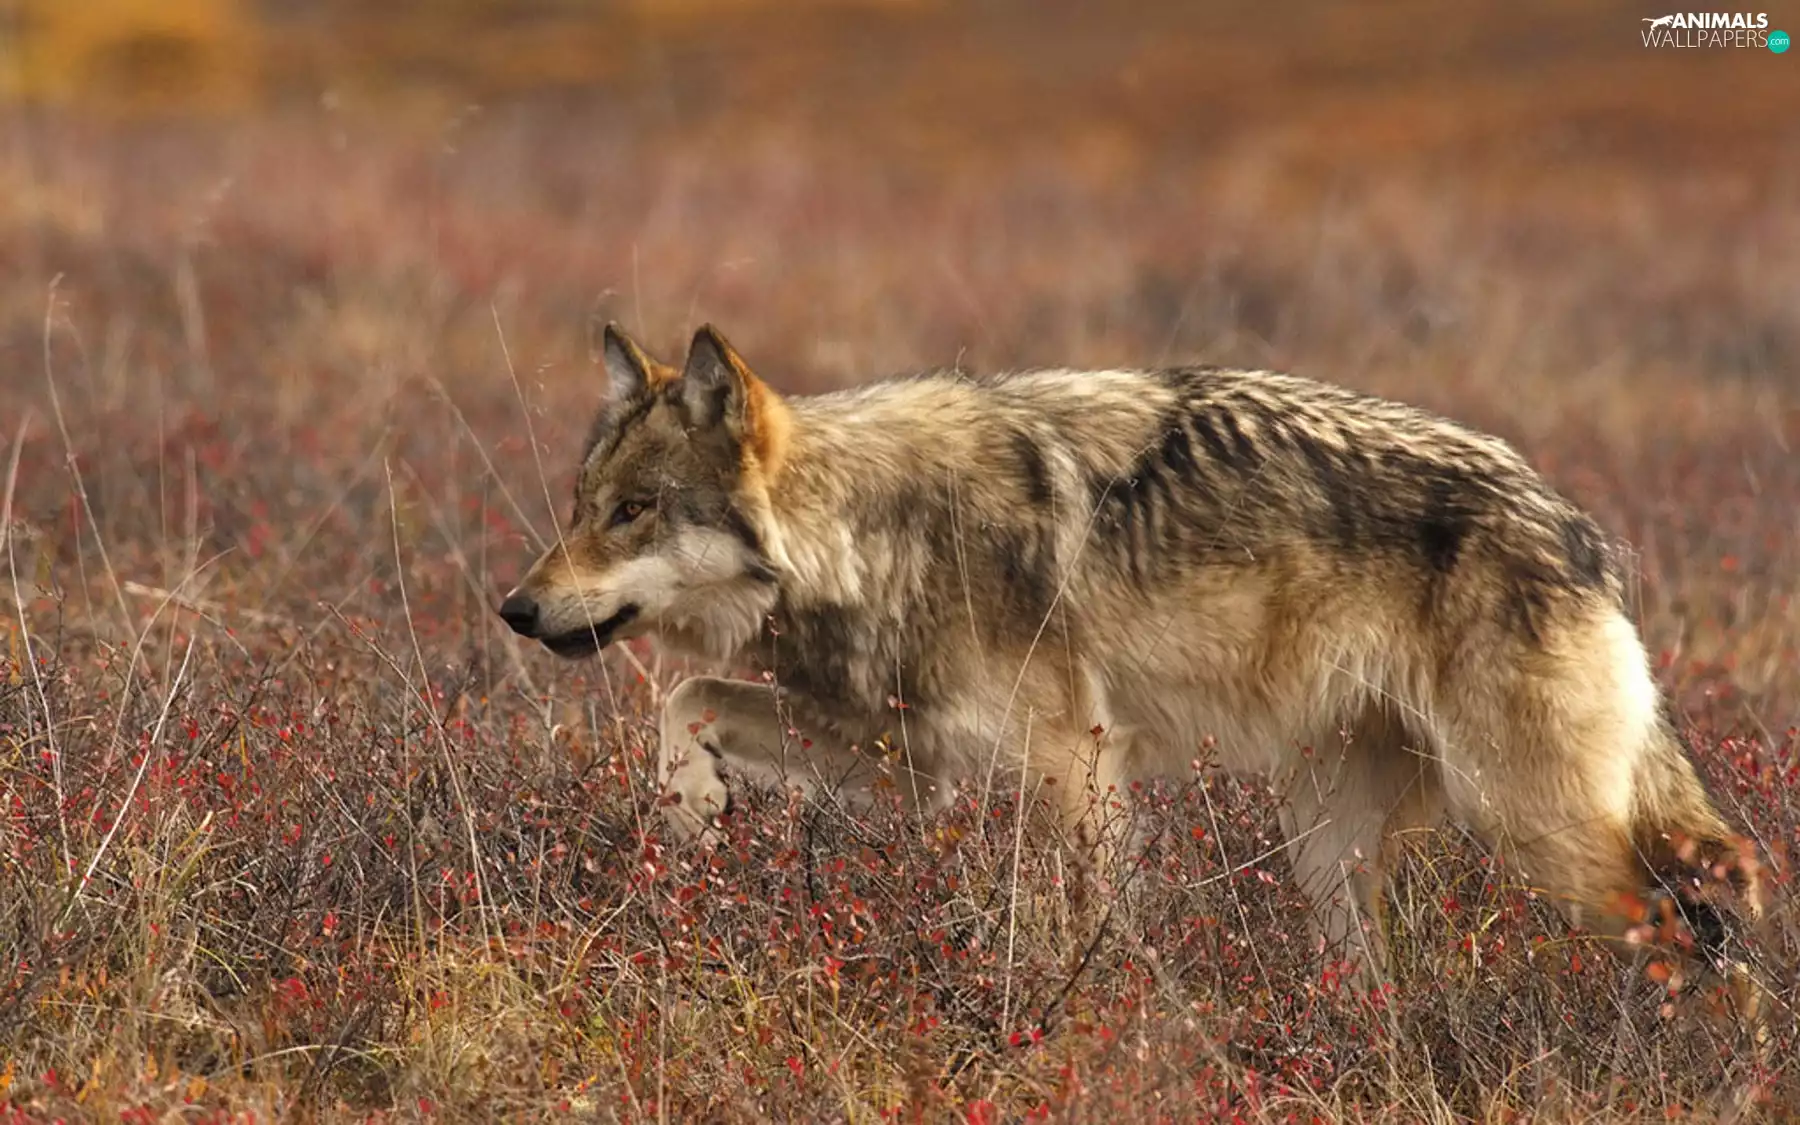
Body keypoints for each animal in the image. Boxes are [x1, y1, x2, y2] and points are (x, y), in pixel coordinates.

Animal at [499, 322, 1763, 995]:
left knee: (1706, 929)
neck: (870, 528)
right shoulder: (913, 757)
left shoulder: (1072, 760)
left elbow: (1081, 925)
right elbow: (685, 693)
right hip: (1329, 843)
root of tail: (1576, 525)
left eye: (634, 511)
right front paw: (690, 813)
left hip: (1531, 830)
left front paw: (1082, 1023)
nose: (513, 608)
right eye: (581, 506)